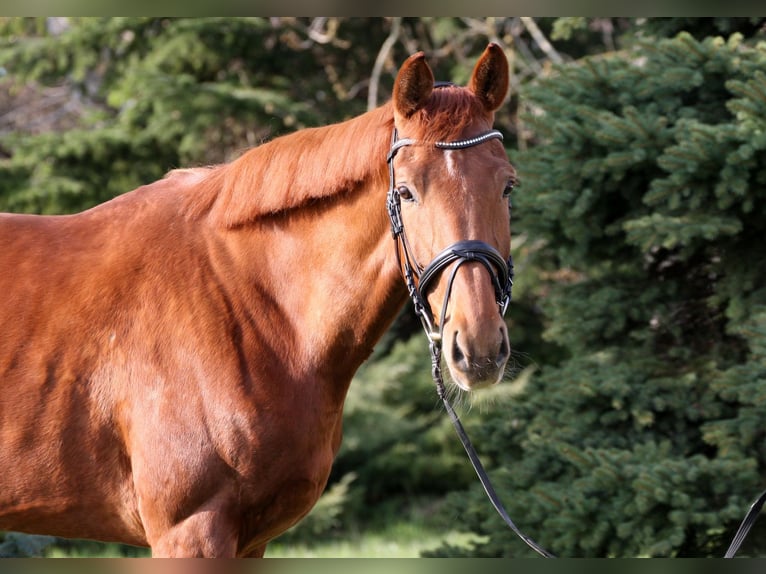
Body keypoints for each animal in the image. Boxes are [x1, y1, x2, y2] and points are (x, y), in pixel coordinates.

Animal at [0, 43, 516, 557]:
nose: (479, 348)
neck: (249, 304)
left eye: (508, 186)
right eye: (406, 192)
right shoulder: (189, 531)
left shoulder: (251, 539)